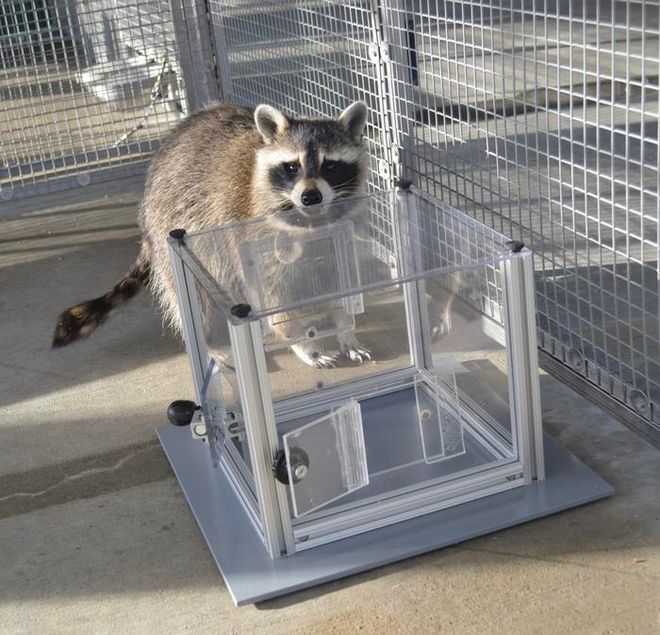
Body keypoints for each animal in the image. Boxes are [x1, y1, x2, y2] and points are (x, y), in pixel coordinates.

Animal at [52, 101, 371, 367]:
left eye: (330, 165)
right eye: (292, 167)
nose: (310, 197)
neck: (309, 222)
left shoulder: (338, 237)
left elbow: (339, 281)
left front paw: (344, 327)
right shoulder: (252, 235)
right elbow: (273, 298)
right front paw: (304, 341)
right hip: (170, 228)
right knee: (193, 299)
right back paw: (206, 342)